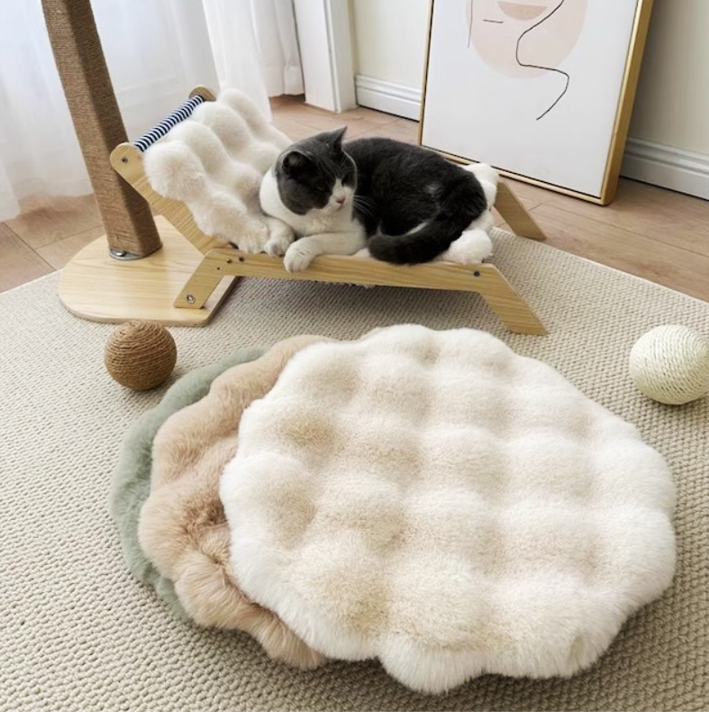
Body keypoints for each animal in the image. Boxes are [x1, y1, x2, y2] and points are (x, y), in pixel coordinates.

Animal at [257, 127, 498, 272]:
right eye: (321, 187)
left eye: (345, 178)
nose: (342, 199)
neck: (308, 216)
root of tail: (461, 174)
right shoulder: (269, 208)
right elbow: (279, 224)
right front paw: (277, 244)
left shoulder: (354, 233)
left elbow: (316, 239)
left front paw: (295, 254)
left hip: (396, 192)